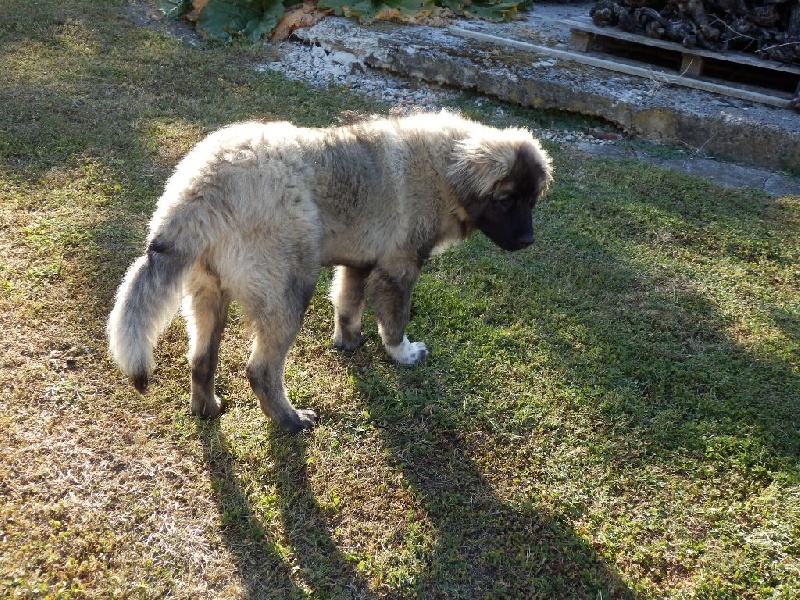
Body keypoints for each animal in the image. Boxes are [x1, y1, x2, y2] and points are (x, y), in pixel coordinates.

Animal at [106, 111, 552, 432]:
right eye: (506, 199)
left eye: (532, 200)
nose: (529, 240)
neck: (443, 166)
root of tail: (202, 184)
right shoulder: (399, 268)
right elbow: (394, 322)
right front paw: (403, 354)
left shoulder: (359, 262)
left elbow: (347, 303)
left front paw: (348, 342)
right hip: (288, 289)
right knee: (260, 370)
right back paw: (289, 421)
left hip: (207, 291)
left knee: (202, 357)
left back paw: (207, 409)